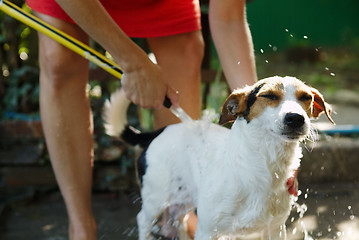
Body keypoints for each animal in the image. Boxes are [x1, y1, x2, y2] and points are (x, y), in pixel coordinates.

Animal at [103, 76, 334, 239]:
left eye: (306, 98)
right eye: (268, 96)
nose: (296, 118)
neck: (261, 166)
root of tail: (156, 132)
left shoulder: (275, 229)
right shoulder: (208, 230)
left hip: (184, 197)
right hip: (156, 197)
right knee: (143, 219)